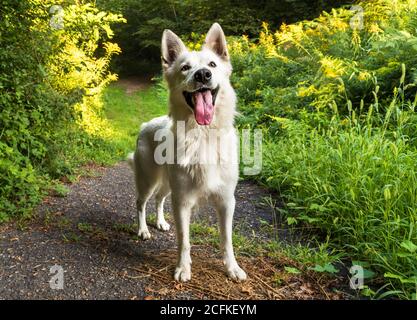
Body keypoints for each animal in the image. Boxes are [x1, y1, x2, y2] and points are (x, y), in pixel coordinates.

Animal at [128, 23, 245, 282]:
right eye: (185, 68)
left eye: (212, 64)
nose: (203, 75)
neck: (203, 135)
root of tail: (145, 125)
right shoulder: (182, 201)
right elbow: (184, 241)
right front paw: (183, 268)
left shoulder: (226, 201)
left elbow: (227, 240)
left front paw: (232, 268)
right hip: (149, 180)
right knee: (141, 202)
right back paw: (143, 230)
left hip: (167, 184)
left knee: (159, 199)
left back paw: (160, 223)